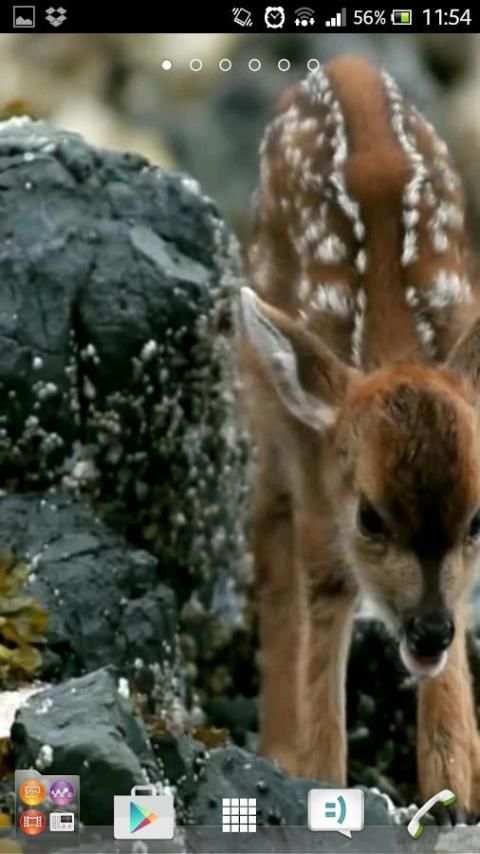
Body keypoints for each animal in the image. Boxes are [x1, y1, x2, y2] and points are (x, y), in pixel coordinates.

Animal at [238, 55, 480, 820]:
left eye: (478, 520)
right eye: (370, 517)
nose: (428, 631)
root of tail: (348, 64)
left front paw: (454, 792)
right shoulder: (323, 514)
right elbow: (320, 626)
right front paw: (318, 779)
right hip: (261, 413)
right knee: (270, 554)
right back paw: (274, 746)